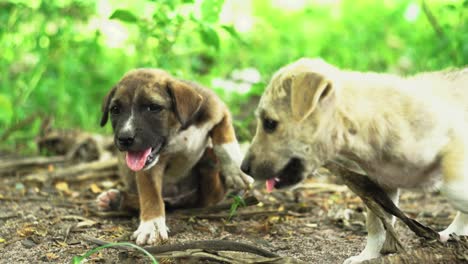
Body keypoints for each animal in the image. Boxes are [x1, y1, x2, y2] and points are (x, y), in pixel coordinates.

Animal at [96, 68, 254, 245]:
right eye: (115, 109)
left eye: (153, 107)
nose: (124, 138)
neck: (177, 130)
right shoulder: (150, 167)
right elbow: (151, 194)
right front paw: (152, 225)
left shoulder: (219, 111)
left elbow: (225, 142)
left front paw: (236, 171)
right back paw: (114, 200)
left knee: (210, 194)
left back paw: (210, 160)